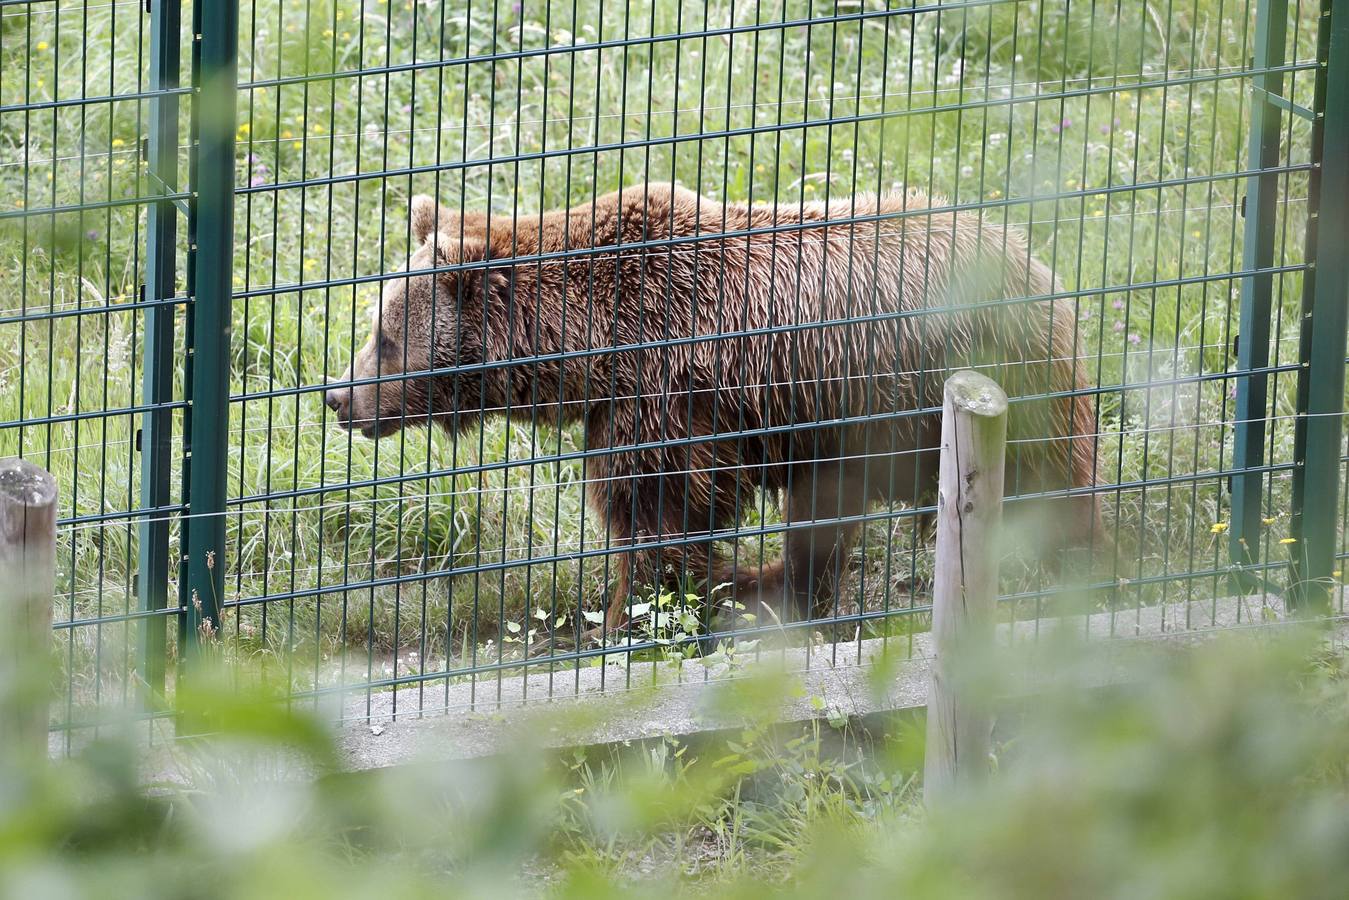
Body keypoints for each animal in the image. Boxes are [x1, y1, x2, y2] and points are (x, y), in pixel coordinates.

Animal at [326, 183, 1095, 634]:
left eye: (383, 336)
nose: (339, 397)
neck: (585, 344)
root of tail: (1038, 266)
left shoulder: (664, 394)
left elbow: (656, 513)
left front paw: (621, 620)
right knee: (823, 515)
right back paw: (773, 582)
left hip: (972, 381)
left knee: (1045, 485)